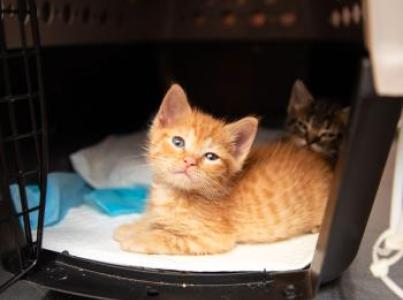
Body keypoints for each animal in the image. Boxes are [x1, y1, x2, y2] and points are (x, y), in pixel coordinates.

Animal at [113, 84, 332, 255]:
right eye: (178, 142)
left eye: (211, 157)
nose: (189, 161)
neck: (173, 194)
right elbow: (153, 219)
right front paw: (133, 227)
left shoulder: (211, 237)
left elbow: (167, 236)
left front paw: (139, 238)